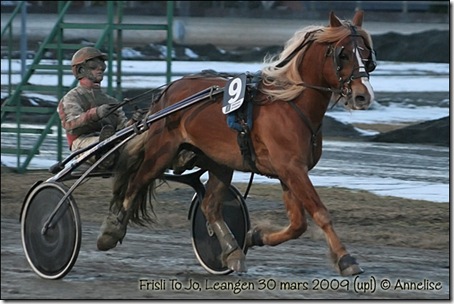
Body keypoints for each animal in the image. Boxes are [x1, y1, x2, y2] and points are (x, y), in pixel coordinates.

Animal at [98, 10, 376, 276]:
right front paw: (346, 259)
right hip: (161, 151)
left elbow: (298, 224)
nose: (363, 96)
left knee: (210, 206)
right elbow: (320, 213)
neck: (291, 103)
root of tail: (167, 91)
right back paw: (111, 232)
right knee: (135, 183)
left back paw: (232, 252)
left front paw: (254, 236)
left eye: (367, 56)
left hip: (220, 163)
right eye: (343, 55)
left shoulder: (289, 172)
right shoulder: (291, 168)